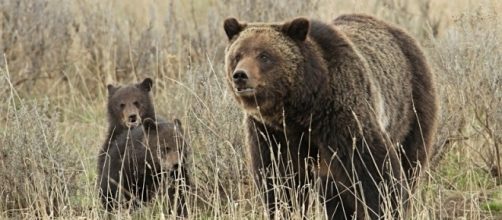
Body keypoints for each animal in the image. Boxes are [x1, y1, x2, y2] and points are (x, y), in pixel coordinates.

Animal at [224, 14, 440, 219]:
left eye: (264, 56)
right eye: (237, 55)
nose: (240, 75)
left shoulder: (341, 116)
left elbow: (375, 168)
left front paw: (387, 208)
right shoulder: (271, 132)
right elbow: (279, 179)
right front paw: (284, 209)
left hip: (411, 108)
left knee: (411, 161)